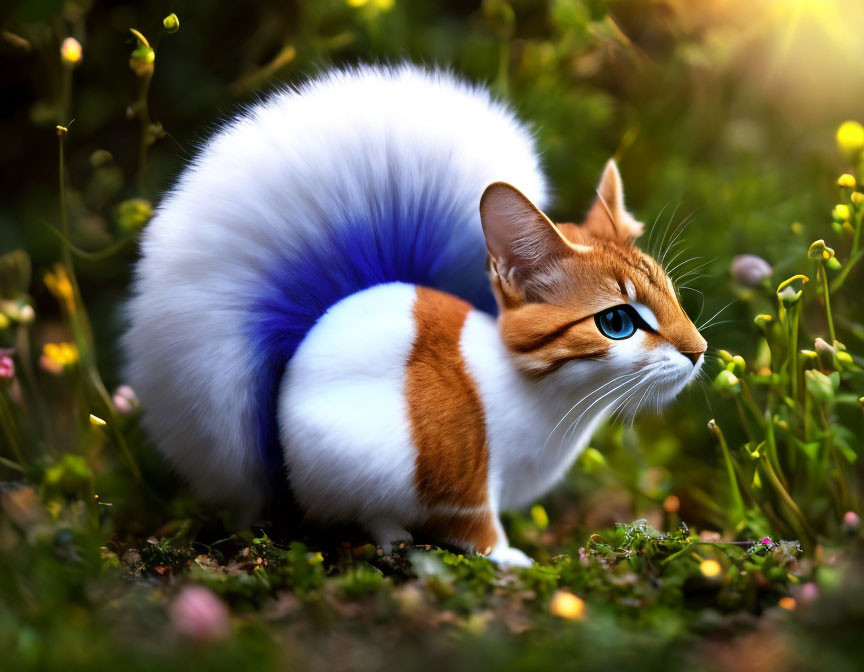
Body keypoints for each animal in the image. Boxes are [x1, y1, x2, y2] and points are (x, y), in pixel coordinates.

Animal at [123, 64, 704, 568]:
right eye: (617, 323)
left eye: (672, 295)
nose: (699, 352)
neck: (550, 399)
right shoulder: (457, 476)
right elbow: (476, 525)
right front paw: (510, 558)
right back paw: (395, 538)